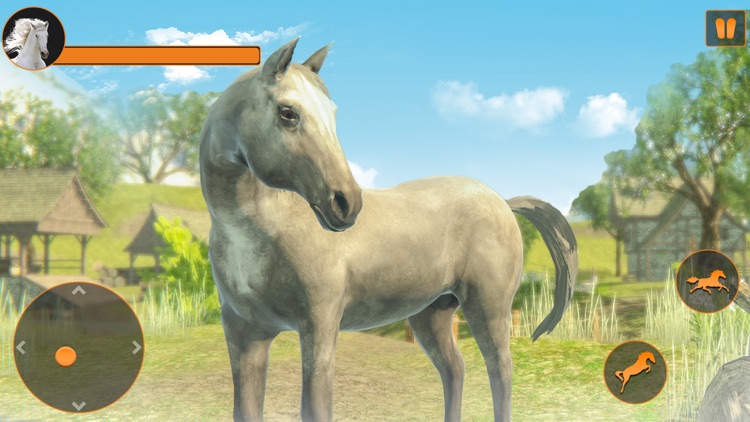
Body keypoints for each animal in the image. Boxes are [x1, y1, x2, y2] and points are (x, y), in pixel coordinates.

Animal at [199, 38, 578, 422]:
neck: (259, 237)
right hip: (432, 316)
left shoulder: (319, 329)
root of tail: (502, 200)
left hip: (488, 308)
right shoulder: (245, 336)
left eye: (332, 113)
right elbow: (245, 408)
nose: (347, 203)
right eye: (288, 112)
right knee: (455, 369)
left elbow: (315, 406)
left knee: (500, 371)